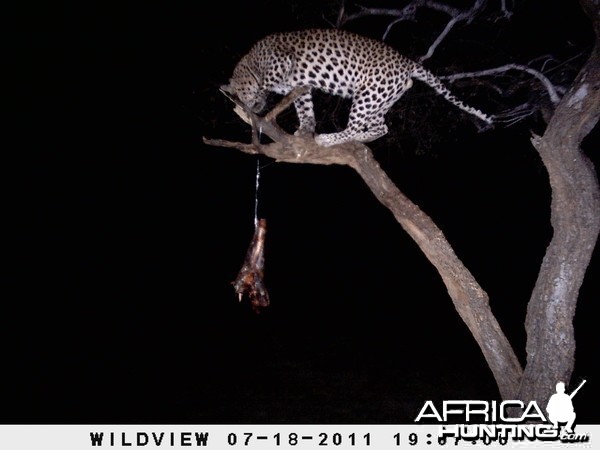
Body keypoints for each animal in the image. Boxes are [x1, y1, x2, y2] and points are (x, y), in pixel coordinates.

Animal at [221, 28, 492, 147]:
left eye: (241, 95)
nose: (250, 107)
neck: (250, 63)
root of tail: (407, 63)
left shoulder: (282, 64)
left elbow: (271, 88)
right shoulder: (300, 85)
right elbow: (304, 107)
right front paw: (304, 128)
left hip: (367, 95)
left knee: (354, 126)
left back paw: (328, 139)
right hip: (380, 99)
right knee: (381, 127)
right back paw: (361, 138)